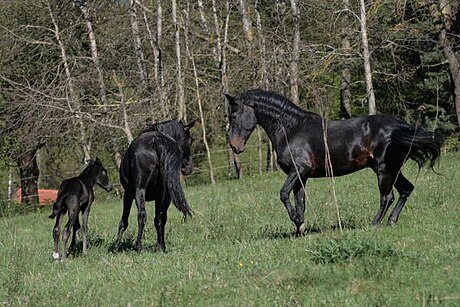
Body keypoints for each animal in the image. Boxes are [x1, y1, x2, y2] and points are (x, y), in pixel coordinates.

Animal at [116, 119, 195, 253]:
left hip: (139, 190)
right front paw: (160, 245)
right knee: (160, 218)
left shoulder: (128, 194)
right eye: (190, 140)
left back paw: (138, 246)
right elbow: (159, 219)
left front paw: (116, 247)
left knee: (142, 215)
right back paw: (160, 247)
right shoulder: (161, 196)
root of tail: (155, 140)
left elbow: (124, 221)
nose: (188, 168)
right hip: (163, 195)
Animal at [226, 89, 442, 236]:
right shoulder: (301, 176)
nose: (234, 146)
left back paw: (373, 224)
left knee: (387, 197)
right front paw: (300, 228)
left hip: (384, 170)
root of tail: (400, 126)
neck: (291, 130)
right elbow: (300, 202)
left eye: (234, 115)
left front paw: (297, 221)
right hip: (393, 168)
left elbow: (283, 194)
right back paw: (391, 221)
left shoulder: (299, 170)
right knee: (406, 189)